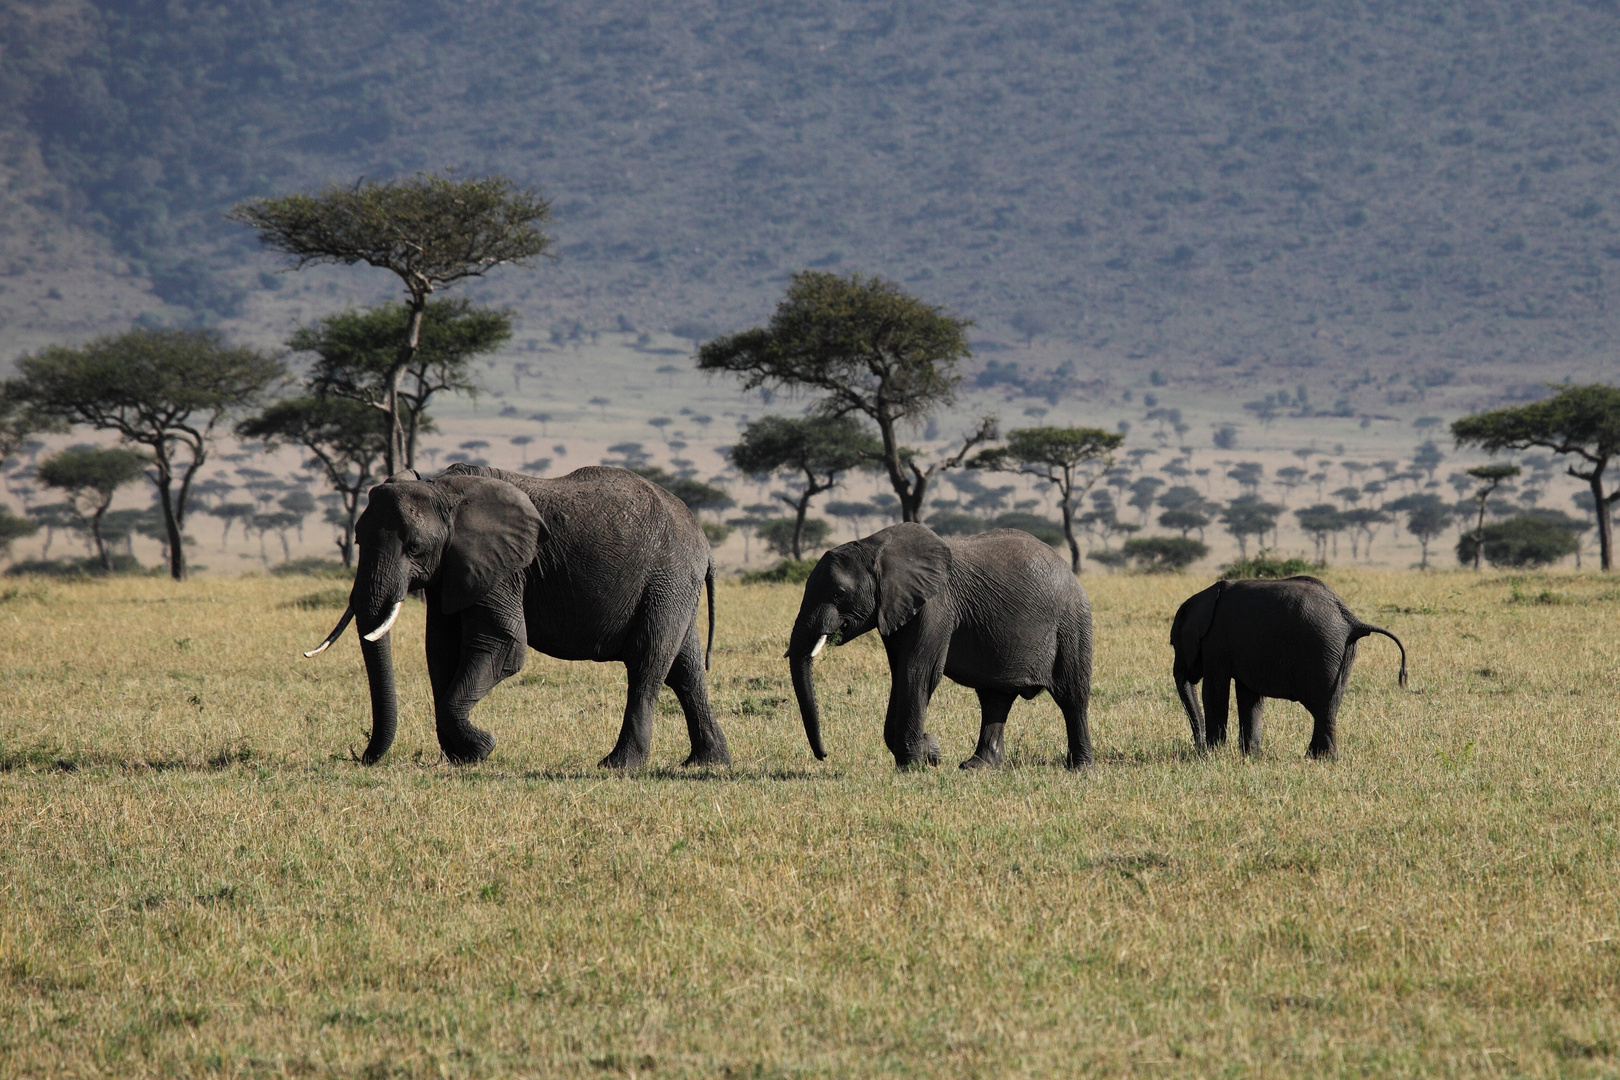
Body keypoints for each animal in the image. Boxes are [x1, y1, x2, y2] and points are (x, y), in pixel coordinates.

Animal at [304, 466, 735, 767]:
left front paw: (481, 747)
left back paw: (619, 765)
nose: (360, 755)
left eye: (414, 547)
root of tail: (705, 543)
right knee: (685, 669)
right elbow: (440, 650)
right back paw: (707, 763)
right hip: (675, 586)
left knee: (647, 664)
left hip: (667, 579)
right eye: (357, 539)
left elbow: (503, 645)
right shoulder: (455, 569)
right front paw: (460, 758)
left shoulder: (505, 568)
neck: (443, 488)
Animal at [780, 521, 1095, 767]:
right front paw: (928, 751)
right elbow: (900, 674)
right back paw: (977, 767)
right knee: (994, 698)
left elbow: (918, 673)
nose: (824, 755)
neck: (875, 547)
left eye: (840, 593)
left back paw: (1080, 768)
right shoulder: (896, 608)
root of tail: (1068, 570)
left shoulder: (936, 605)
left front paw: (915, 763)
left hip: (1071, 623)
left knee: (1072, 696)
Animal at [1166, 573, 1406, 761]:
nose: (1198, 748)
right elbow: (1249, 696)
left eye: (1173, 644)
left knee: (1322, 706)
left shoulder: (1216, 643)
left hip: (1321, 651)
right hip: (1342, 654)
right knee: (1328, 705)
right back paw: (1316, 757)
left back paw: (1322, 759)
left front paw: (1213, 754)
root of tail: (1352, 620)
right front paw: (1250, 756)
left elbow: (1215, 692)